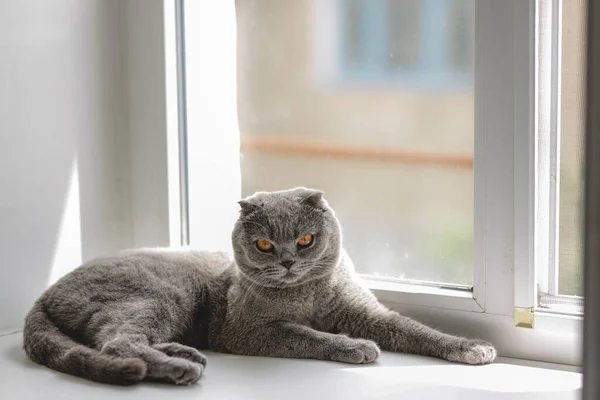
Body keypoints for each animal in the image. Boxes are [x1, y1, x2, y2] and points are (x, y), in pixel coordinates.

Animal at [23, 189, 494, 386]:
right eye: (264, 244)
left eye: (305, 240)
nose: (287, 261)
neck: (307, 294)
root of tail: (43, 293)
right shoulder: (247, 329)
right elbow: (304, 334)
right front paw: (354, 346)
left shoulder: (366, 312)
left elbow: (417, 330)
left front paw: (472, 348)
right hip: (158, 296)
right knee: (116, 343)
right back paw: (180, 369)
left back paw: (183, 355)